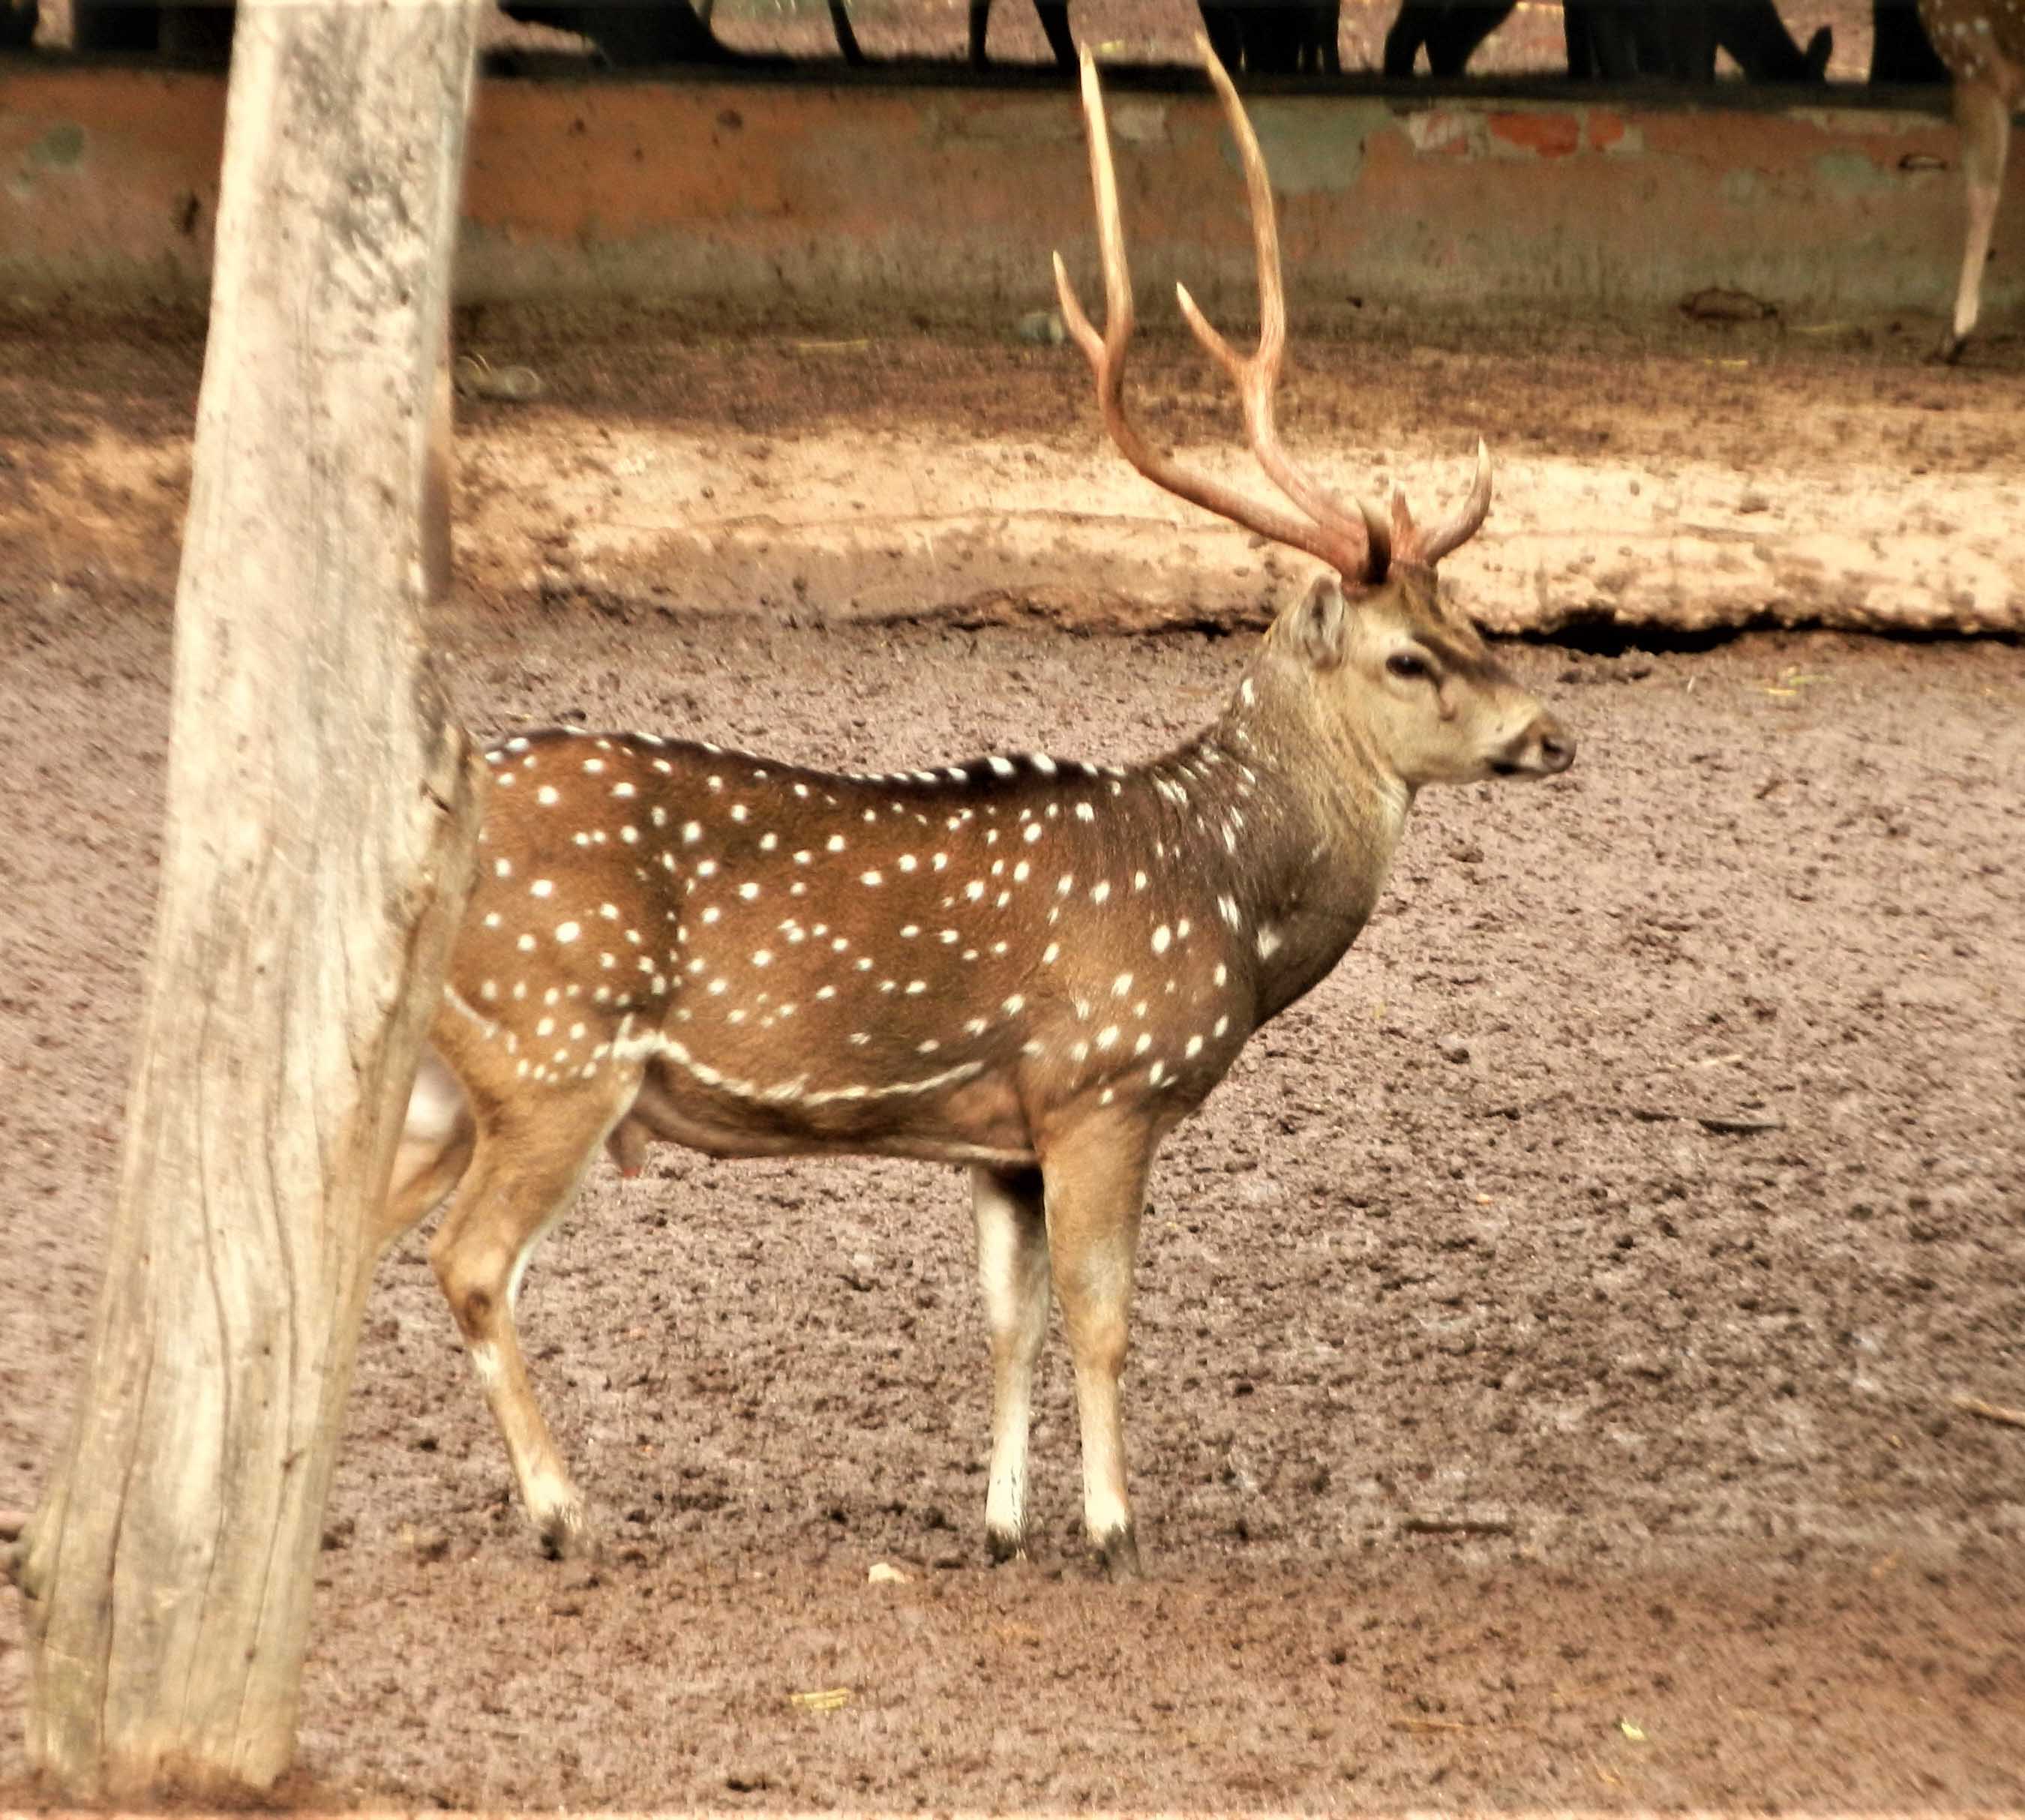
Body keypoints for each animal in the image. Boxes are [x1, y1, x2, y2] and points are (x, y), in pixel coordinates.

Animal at [386, 43, 1571, 1579]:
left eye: (1471, 617)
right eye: (1410, 656)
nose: (1551, 733)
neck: (1229, 902)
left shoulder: (1000, 1133)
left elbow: (1007, 1322)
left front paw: (1003, 1522)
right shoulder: (1103, 1084)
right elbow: (1103, 1319)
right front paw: (1114, 1526)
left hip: (438, 1075)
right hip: (554, 1049)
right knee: (465, 1257)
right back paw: (561, 1507)